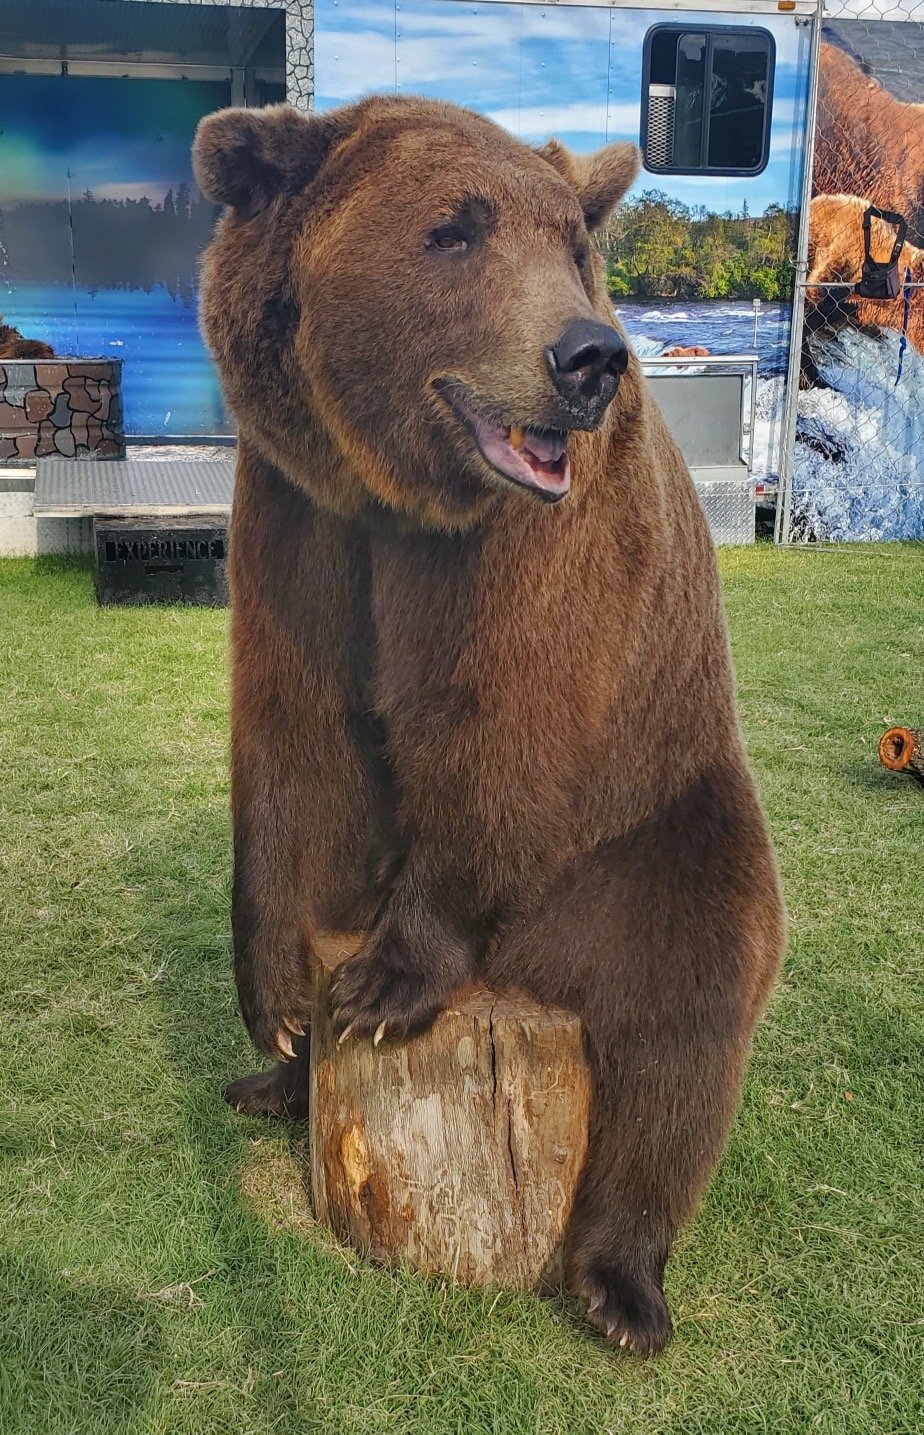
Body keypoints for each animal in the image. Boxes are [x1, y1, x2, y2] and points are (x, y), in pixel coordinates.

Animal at [192, 95, 785, 1356]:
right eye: (453, 230)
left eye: (572, 244)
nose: (588, 358)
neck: (396, 498)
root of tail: (530, 975)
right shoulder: (298, 517)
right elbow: (290, 727)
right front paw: (276, 1004)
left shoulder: (542, 551)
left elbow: (509, 726)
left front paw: (382, 986)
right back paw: (278, 1080)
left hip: (653, 843)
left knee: (685, 1032)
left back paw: (623, 1284)